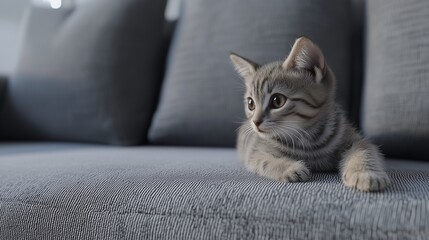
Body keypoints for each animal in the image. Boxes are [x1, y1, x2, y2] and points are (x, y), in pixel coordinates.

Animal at [229, 36, 390, 192]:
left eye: (277, 101)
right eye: (251, 104)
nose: (255, 122)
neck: (308, 139)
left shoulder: (355, 140)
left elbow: (363, 151)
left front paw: (365, 174)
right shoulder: (256, 150)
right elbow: (264, 161)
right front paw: (289, 167)